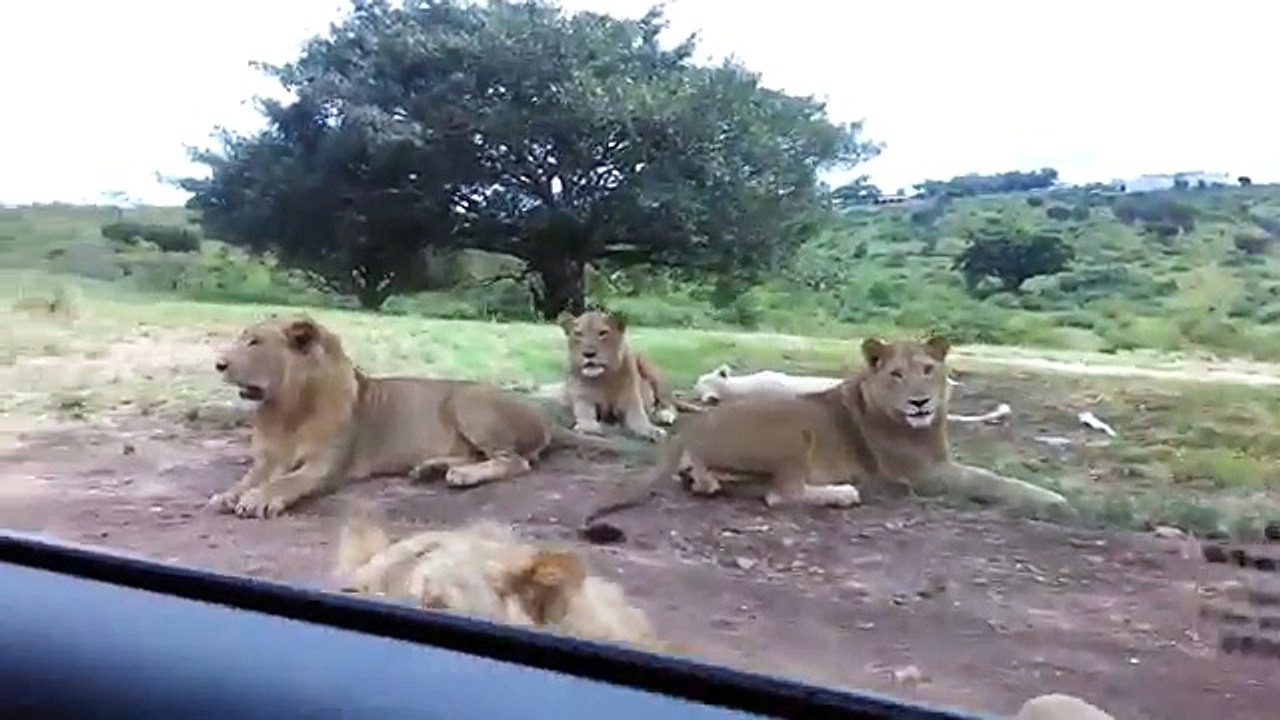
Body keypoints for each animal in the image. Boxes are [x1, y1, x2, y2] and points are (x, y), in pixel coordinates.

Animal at [210, 313, 620, 519]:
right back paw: (432, 469)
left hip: (468, 401)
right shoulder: (267, 459)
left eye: (255, 342)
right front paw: (229, 494)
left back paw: (463, 476)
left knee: (515, 462)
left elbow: (286, 482)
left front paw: (259, 499)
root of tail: (544, 417)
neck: (286, 408)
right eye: (242, 338)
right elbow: (251, 477)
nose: (218, 364)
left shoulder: (324, 466)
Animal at [557, 310, 679, 442]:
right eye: (578, 334)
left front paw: (653, 431)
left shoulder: (631, 402)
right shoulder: (582, 399)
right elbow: (585, 416)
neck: (603, 379)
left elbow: (640, 420)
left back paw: (664, 415)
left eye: (603, 333)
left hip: (651, 371)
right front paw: (588, 427)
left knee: (669, 404)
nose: (589, 354)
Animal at [580, 335, 1072, 538]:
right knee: (781, 494)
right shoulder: (923, 473)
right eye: (896, 374)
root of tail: (690, 431)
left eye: (929, 370)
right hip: (793, 430)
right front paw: (1054, 499)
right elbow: (991, 481)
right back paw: (842, 493)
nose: (920, 402)